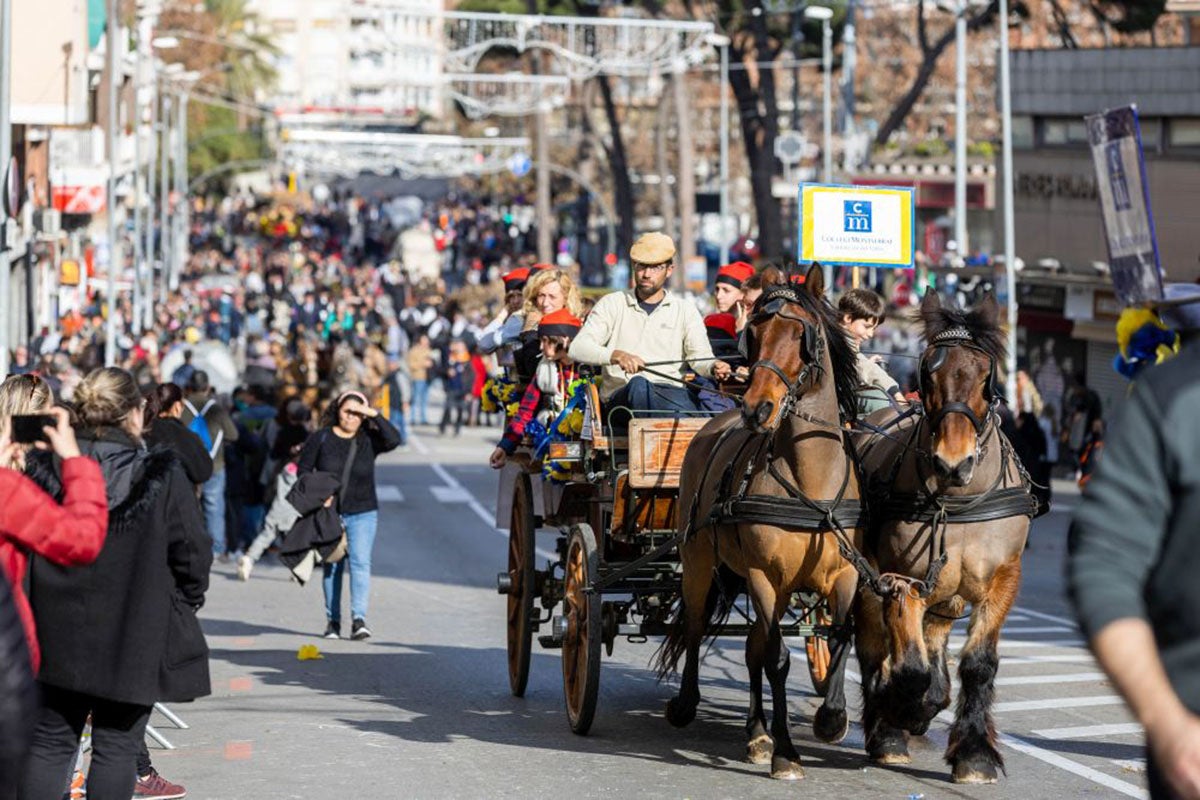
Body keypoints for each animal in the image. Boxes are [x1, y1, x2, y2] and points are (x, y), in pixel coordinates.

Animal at [657, 266, 864, 777]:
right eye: (754, 335)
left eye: (801, 335)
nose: (757, 408)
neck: (812, 484)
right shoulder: (766, 576)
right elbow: (777, 658)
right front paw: (787, 752)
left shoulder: (845, 574)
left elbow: (840, 636)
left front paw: (831, 718)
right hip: (700, 561)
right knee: (696, 627)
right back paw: (688, 705)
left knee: (750, 646)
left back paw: (756, 733)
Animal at [854, 292, 1041, 782]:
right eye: (928, 371)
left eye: (984, 375)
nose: (952, 463)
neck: (957, 502)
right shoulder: (901, 581)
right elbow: (908, 666)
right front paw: (898, 715)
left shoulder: (1004, 580)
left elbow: (977, 664)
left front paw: (973, 753)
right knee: (872, 646)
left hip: (948, 594)